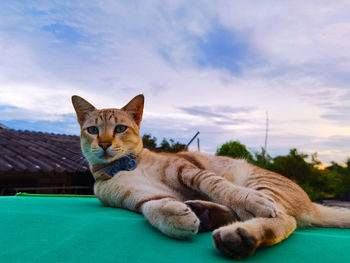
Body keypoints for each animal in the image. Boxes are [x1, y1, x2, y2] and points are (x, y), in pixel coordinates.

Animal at [71, 94, 350, 260]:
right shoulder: (135, 196)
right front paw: (173, 217)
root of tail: (312, 204)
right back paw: (208, 215)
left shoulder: (189, 171)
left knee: (283, 219)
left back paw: (239, 233)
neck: (128, 166)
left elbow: (219, 185)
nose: (104, 144)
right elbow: (152, 206)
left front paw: (249, 200)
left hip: (261, 183)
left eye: (120, 128)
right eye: (93, 130)